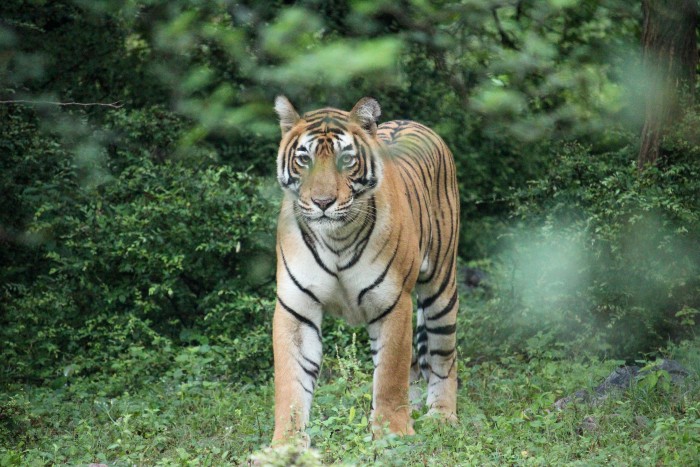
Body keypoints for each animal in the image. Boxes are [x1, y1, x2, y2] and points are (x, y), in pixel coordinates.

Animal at [272, 96, 460, 446]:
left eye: (346, 160)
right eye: (304, 159)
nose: (322, 202)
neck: (336, 238)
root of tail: (411, 121)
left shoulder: (393, 302)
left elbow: (389, 376)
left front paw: (393, 435)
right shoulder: (295, 307)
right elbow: (291, 384)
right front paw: (285, 444)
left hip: (442, 286)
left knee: (443, 357)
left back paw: (441, 417)